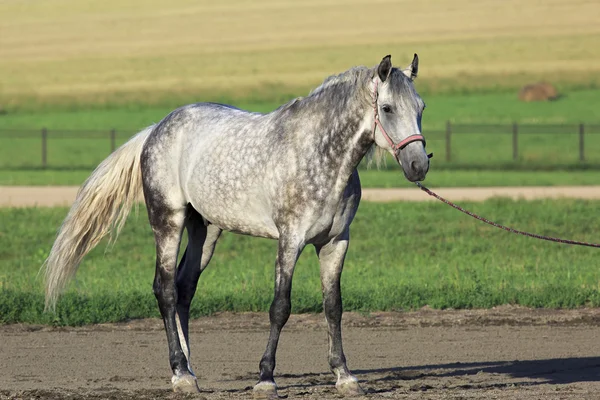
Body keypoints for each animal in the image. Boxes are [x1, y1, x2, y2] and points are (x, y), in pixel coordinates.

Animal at [44, 54, 428, 396]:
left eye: (421, 107)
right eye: (388, 108)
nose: (419, 165)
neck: (320, 156)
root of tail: (157, 129)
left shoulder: (335, 243)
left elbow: (333, 307)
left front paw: (344, 376)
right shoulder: (290, 240)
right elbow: (280, 307)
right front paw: (265, 379)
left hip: (206, 231)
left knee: (184, 289)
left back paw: (190, 369)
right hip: (168, 221)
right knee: (165, 290)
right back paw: (180, 374)